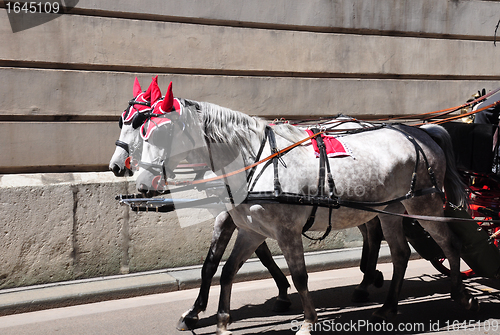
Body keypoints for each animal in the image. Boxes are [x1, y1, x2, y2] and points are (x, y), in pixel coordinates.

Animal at [136, 83, 476, 335]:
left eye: (162, 133)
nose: (140, 184)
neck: (254, 161)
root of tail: (420, 131)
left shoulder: (286, 231)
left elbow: (299, 276)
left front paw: (309, 321)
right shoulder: (251, 231)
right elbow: (226, 270)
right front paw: (221, 321)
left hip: (423, 202)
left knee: (448, 243)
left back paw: (460, 294)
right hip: (388, 207)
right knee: (400, 253)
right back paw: (389, 306)